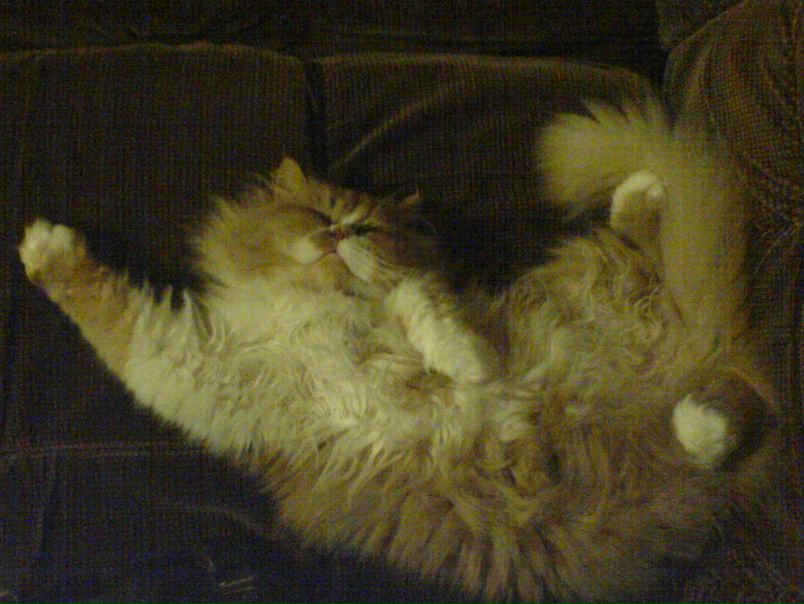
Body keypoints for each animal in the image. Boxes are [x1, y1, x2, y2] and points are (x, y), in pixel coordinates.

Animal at [18, 98, 775, 603]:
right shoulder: (205, 370)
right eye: (318, 217)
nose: (334, 238)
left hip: (597, 292)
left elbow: (418, 300)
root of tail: (692, 342)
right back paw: (696, 407)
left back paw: (647, 195)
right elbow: (111, 310)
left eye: (363, 228)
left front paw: (465, 360)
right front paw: (45, 250)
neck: (315, 308)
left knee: (655, 264)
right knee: (713, 417)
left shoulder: (411, 294)